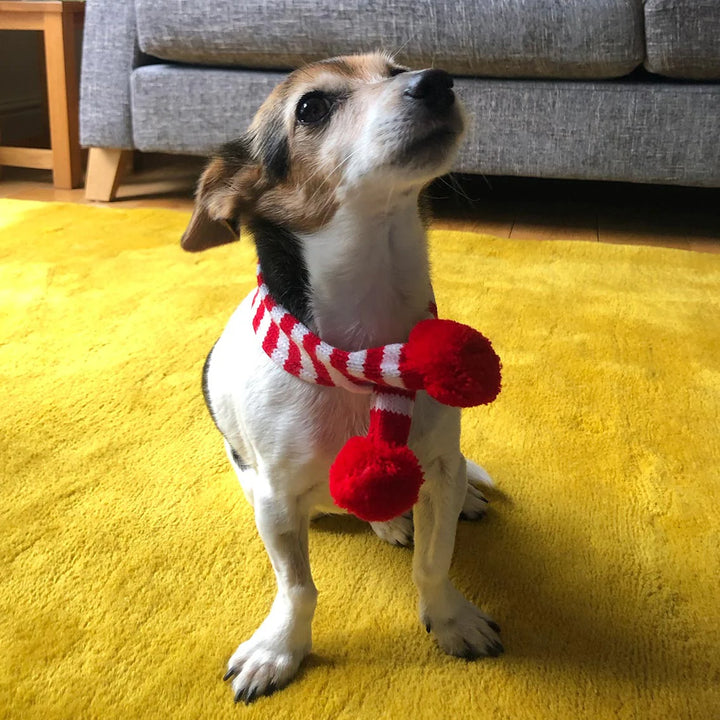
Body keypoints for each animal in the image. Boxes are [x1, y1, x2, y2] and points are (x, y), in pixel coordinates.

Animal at [181, 52, 500, 704]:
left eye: (396, 67)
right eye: (311, 107)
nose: (437, 82)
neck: (367, 356)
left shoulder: (442, 467)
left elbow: (434, 564)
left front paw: (451, 619)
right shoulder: (276, 502)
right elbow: (297, 588)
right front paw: (280, 649)